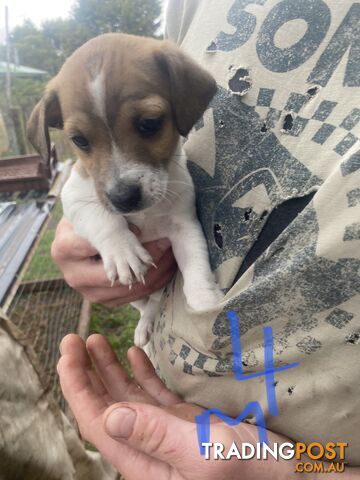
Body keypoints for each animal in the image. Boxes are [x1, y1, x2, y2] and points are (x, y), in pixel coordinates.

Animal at [28, 33, 224, 346]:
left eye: (149, 123)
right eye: (79, 140)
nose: (123, 198)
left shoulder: (184, 226)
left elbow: (196, 267)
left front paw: (205, 302)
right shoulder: (75, 198)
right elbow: (103, 220)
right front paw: (122, 251)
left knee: (153, 303)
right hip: (133, 296)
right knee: (147, 306)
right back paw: (144, 326)